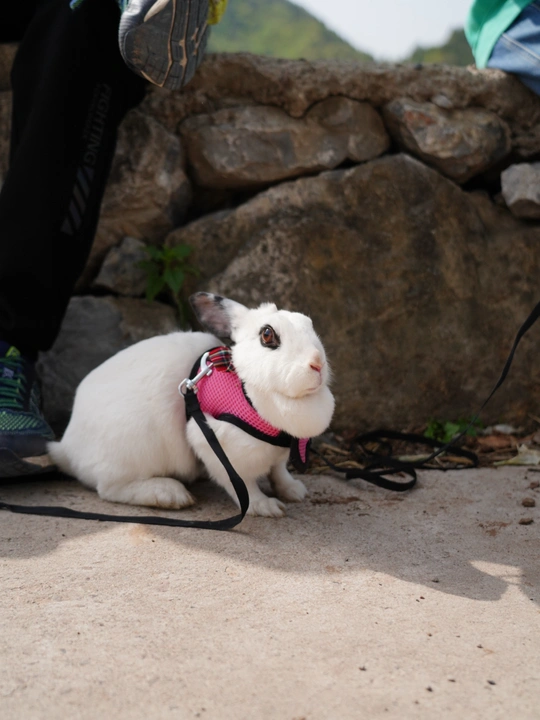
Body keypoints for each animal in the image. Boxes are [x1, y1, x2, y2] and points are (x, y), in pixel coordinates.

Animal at [48, 292, 335, 517]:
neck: (246, 389)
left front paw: (294, 491)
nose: (317, 363)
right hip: (131, 451)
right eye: (267, 334)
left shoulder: (279, 455)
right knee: (109, 488)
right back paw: (169, 494)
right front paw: (266, 507)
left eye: (308, 323)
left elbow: (278, 472)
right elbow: (244, 487)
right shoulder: (214, 446)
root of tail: (68, 447)